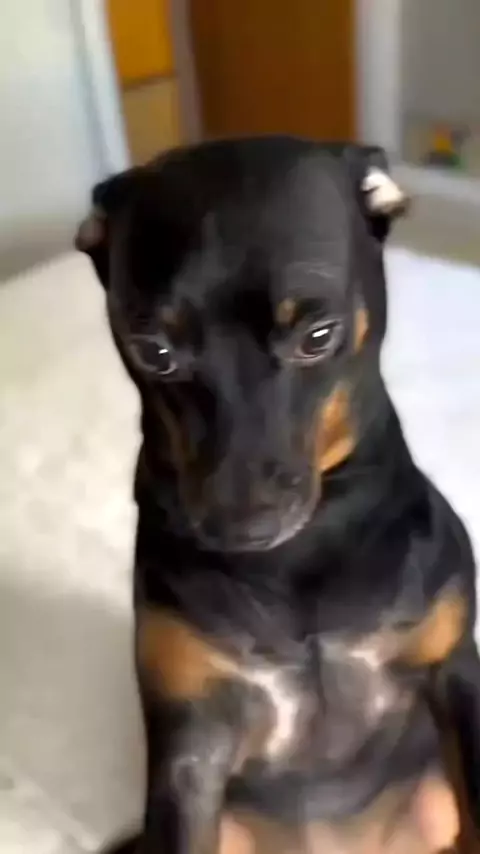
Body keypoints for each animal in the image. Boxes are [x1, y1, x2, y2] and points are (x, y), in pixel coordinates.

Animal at [77, 137, 480, 854]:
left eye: (317, 336)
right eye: (154, 351)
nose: (239, 523)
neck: (300, 559)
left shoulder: (455, 675)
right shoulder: (191, 753)